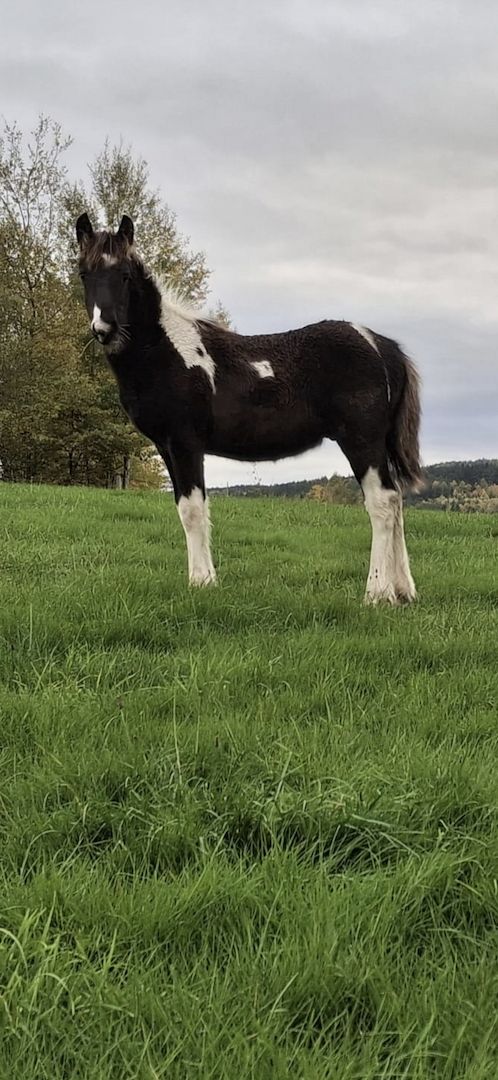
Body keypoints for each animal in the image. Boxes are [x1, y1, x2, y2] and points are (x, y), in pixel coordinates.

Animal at [76, 212, 422, 604]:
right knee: (397, 502)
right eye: (84, 274)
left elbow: (193, 510)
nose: (103, 328)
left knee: (382, 503)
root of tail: (382, 345)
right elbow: (184, 507)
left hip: (362, 441)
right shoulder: (166, 446)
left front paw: (201, 583)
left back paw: (377, 593)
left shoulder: (185, 442)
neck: (164, 352)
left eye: (124, 275)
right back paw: (403, 590)